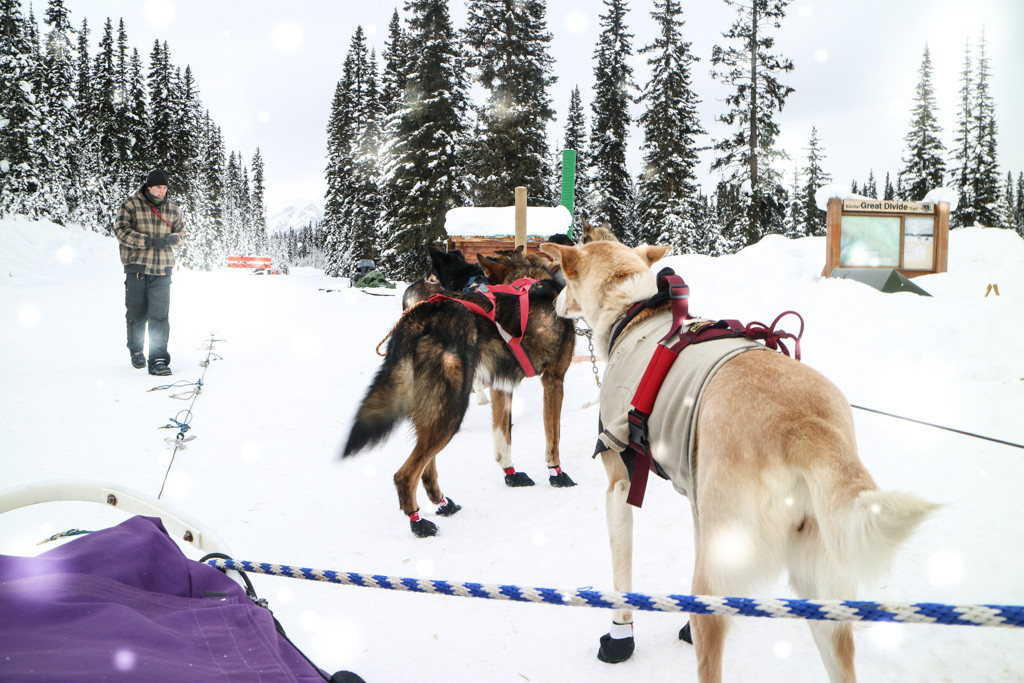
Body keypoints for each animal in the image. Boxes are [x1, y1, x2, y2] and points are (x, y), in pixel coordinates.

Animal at [346, 245, 577, 540]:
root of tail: (416, 319)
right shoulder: (554, 379)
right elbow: (553, 438)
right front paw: (557, 474)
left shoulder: (502, 386)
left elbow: (503, 441)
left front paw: (511, 474)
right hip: (452, 408)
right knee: (405, 474)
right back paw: (418, 522)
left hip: (435, 408)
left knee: (426, 468)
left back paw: (443, 503)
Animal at [540, 237, 937, 679]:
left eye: (564, 277)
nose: (553, 301)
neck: (635, 310)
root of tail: (804, 426)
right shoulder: (697, 501)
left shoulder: (619, 484)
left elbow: (621, 580)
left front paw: (620, 637)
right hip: (823, 597)